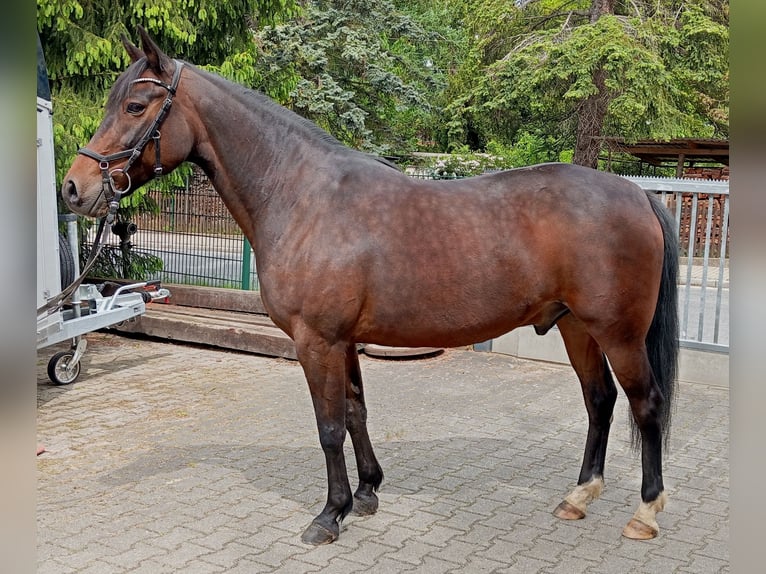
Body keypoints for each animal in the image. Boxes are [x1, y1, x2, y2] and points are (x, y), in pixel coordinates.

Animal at [62, 27, 679, 545]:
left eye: (136, 106)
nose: (74, 187)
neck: (304, 196)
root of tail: (636, 193)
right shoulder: (345, 342)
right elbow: (357, 412)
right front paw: (365, 494)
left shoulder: (317, 341)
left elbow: (329, 425)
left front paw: (328, 515)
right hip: (577, 327)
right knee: (599, 401)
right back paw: (578, 496)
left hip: (618, 333)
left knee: (645, 404)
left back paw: (645, 513)